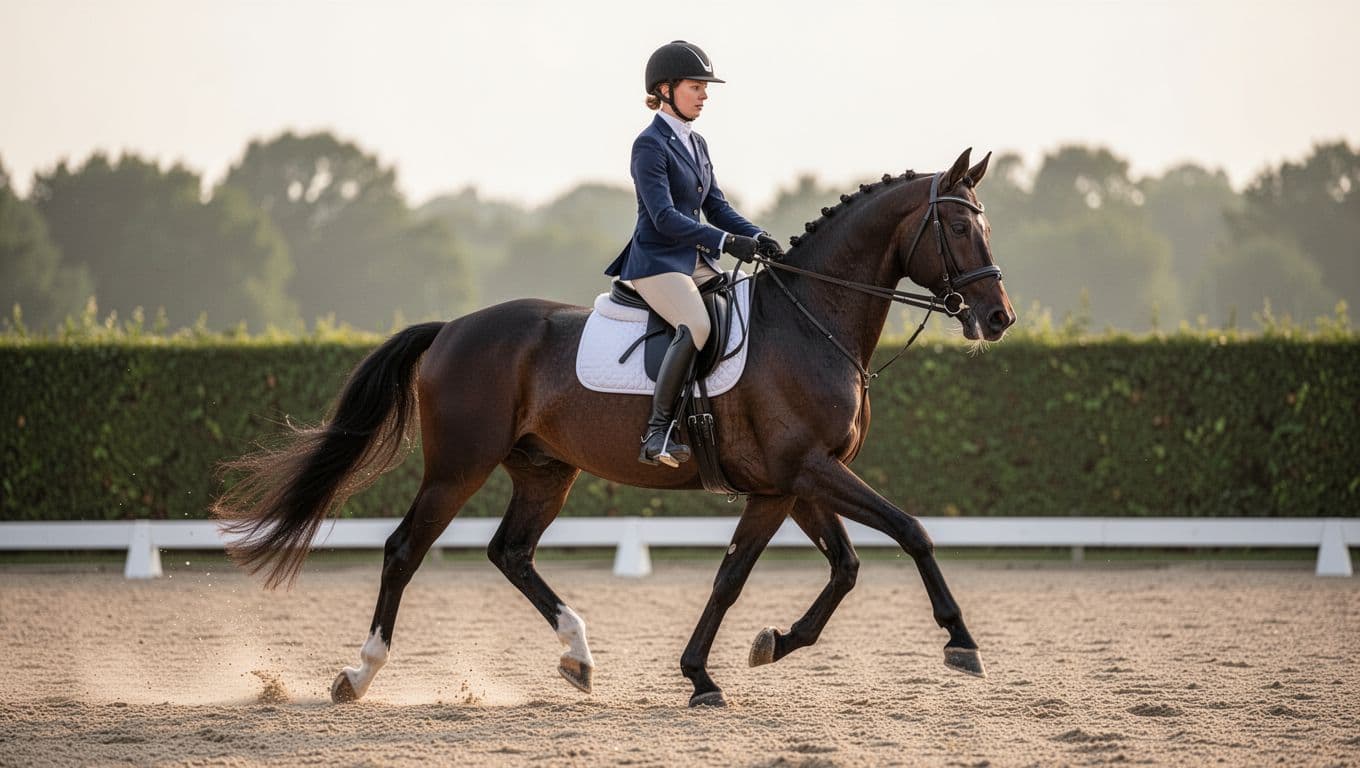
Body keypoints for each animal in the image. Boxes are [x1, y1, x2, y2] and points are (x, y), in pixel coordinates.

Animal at [213, 147, 1016, 708]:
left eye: (986, 224)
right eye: (955, 225)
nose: (998, 318)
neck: (810, 322)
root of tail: (452, 330)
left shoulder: (789, 484)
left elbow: (787, 572)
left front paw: (752, 653)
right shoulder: (810, 471)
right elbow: (910, 531)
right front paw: (962, 643)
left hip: (545, 470)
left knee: (510, 553)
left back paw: (579, 657)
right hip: (458, 467)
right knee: (404, 550)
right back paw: (359, 674)